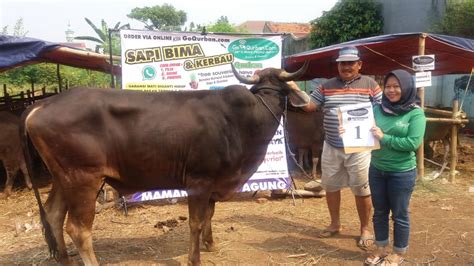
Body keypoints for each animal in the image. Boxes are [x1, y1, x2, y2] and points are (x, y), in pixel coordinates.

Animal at [22, 63, 310, 264]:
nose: (308, 104)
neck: (242, 120)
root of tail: (44, 103)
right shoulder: (199, 181)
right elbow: (195, 222)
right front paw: (195, 258)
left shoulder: (213, 184)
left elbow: (210, 215)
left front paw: (211, 244)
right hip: (82, 179)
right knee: (78, 229)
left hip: (63, 179)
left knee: (53, 216)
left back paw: (64, 260)